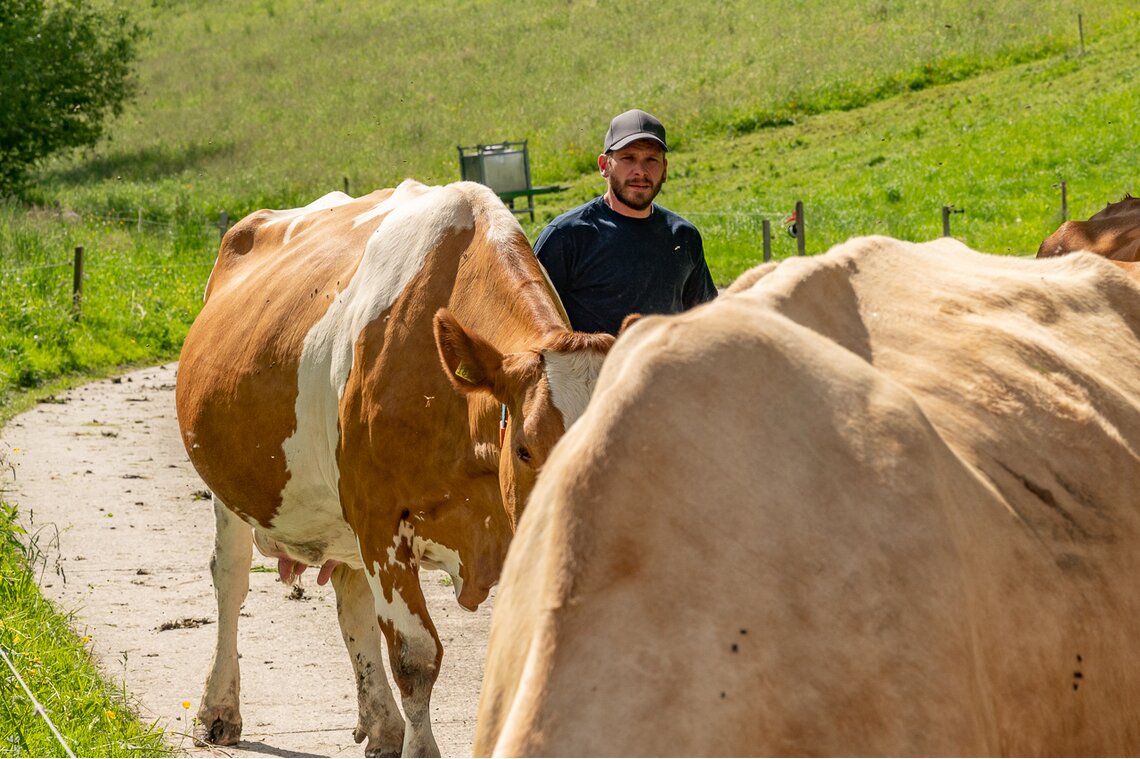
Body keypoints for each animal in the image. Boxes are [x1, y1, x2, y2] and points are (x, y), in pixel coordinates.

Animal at [175, 180, 615, 752]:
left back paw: (382, 724)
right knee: (230, 581)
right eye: (524, 449)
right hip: (230, 492)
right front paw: (422, 750)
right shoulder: (381, 519)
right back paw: (219, 709)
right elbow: (415, 657)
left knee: (351, 598)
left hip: (344, 522)